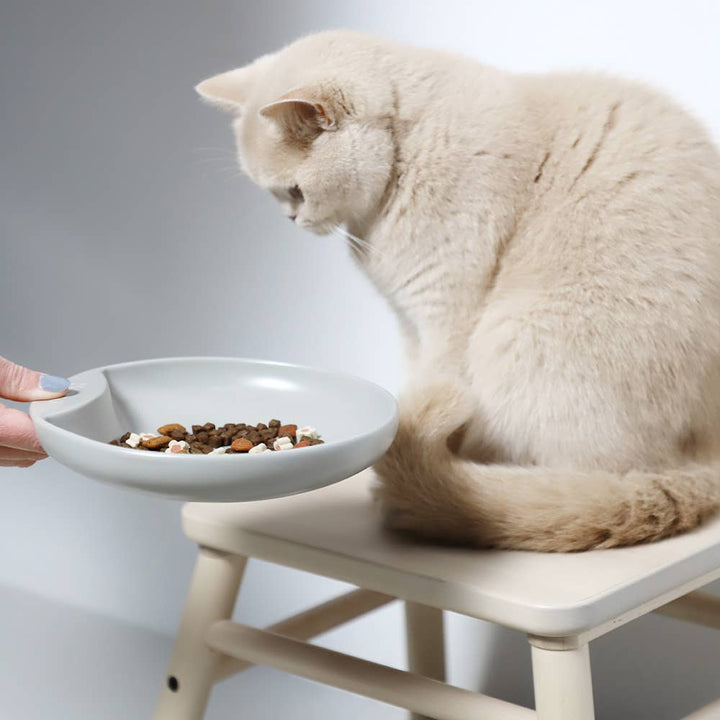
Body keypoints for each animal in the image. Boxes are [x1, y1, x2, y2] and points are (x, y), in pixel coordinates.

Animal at [197, 29, 720, 552]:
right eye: (276, 196)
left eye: (295, 191)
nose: (292, 220)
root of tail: (704, 456)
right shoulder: (410, 324)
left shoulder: (444, 315)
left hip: (514, 335)